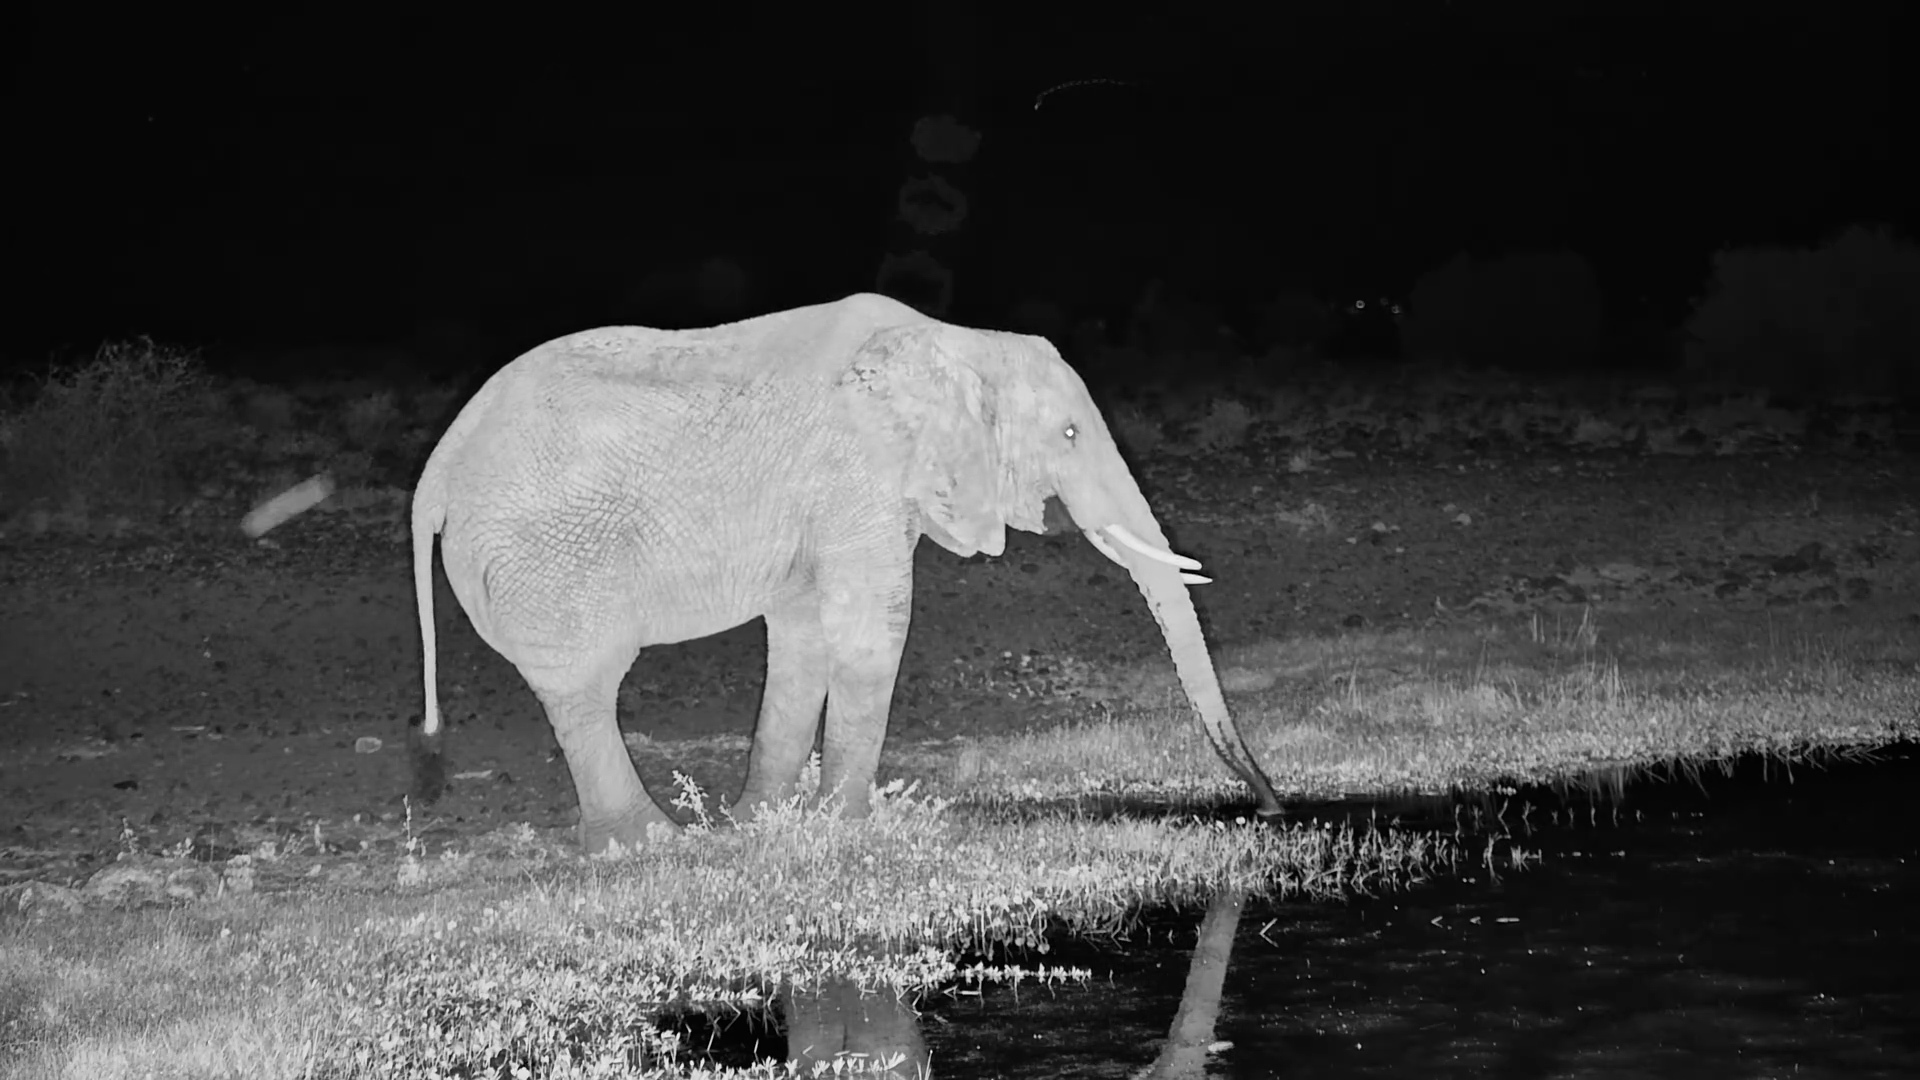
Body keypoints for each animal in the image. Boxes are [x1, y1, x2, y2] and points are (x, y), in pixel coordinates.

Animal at [411, 292, 1284, 854]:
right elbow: (874, 625)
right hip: (544, 560)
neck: (958, 339)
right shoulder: (858, 476)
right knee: (585, 688)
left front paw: (761, 826)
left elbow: (802, 638)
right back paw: (650, 845)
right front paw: (846, 827)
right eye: (1069, 434)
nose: (1273, 809)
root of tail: (433, 478)